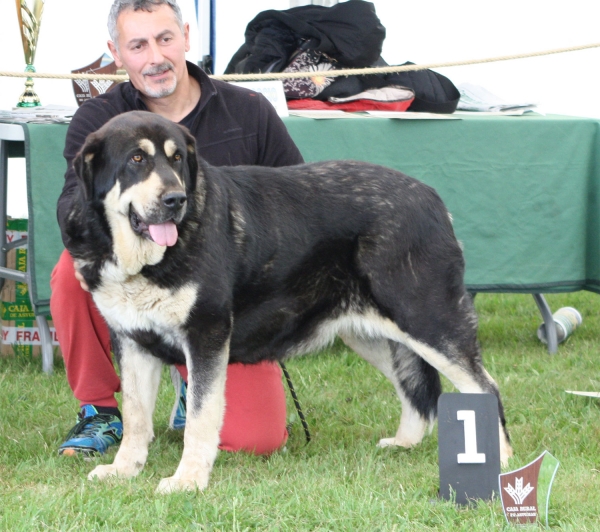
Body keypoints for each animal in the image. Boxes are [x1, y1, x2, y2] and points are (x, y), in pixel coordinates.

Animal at [65, 111, 510, 494]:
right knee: (414, 388)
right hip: (373, 332)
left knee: (483, 386)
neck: (145, 264)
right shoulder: (132, 341)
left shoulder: (206, 334)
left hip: (427, 320)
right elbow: (136, 416)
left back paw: (498, 460)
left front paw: (188, 479)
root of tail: (432, 198)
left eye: (177, 160)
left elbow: (200, 417)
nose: (176, 199)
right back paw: (406, 443)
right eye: (137, 159)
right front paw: (125, 470)